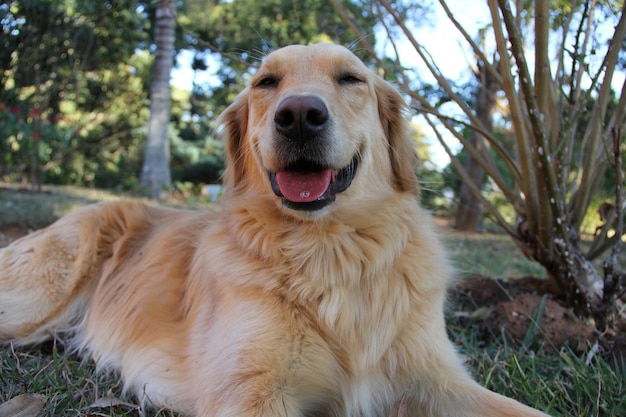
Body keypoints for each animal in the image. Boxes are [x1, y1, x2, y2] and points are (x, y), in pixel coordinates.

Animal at [0, 44, 548, 414]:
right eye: (266, 83)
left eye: (350, 78)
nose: (300, 115)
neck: (329, 250)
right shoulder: (251, 388)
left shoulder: (437, 378)